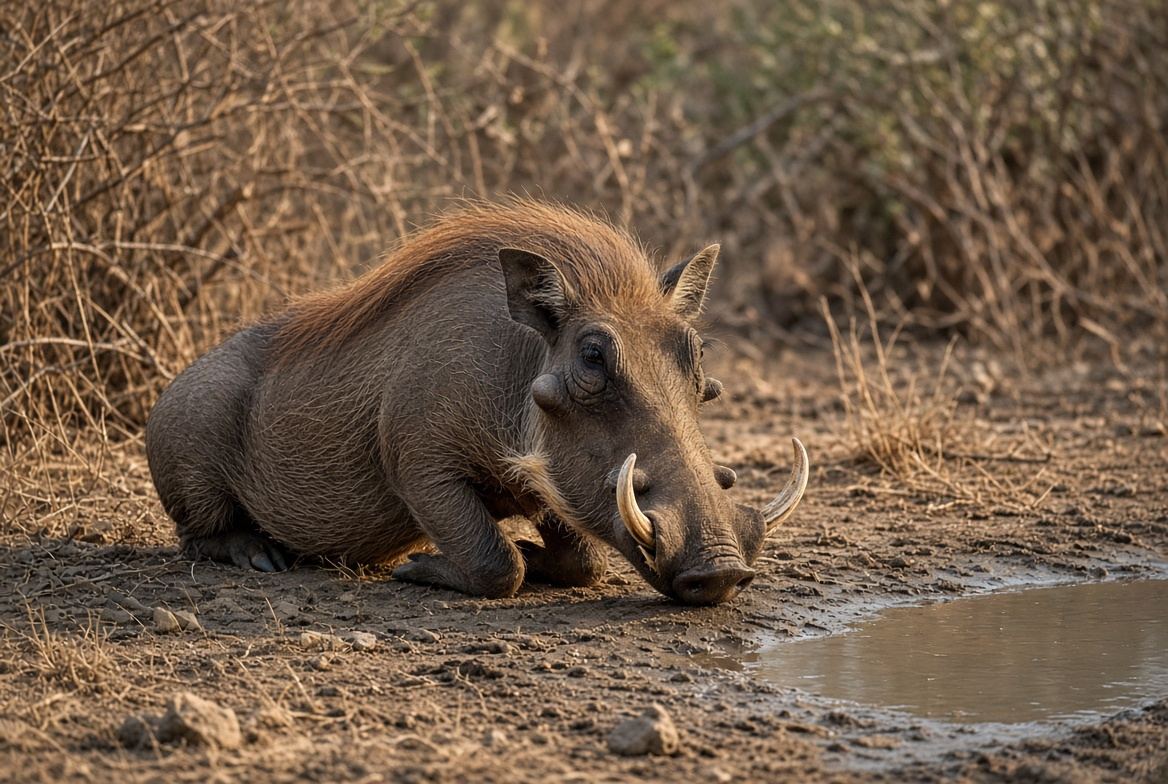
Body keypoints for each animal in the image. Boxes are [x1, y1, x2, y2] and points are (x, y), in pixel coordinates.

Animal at [145, 200, 807, 605]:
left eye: (697, 355)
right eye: (593, 357)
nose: (721, 569)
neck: (515, 365)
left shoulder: (548, 483)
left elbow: (582, 562)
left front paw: (537, 553)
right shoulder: (419, 464)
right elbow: (496, 562)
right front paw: (419, 567)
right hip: (190, 467)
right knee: (198, 535)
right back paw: (260, 554)